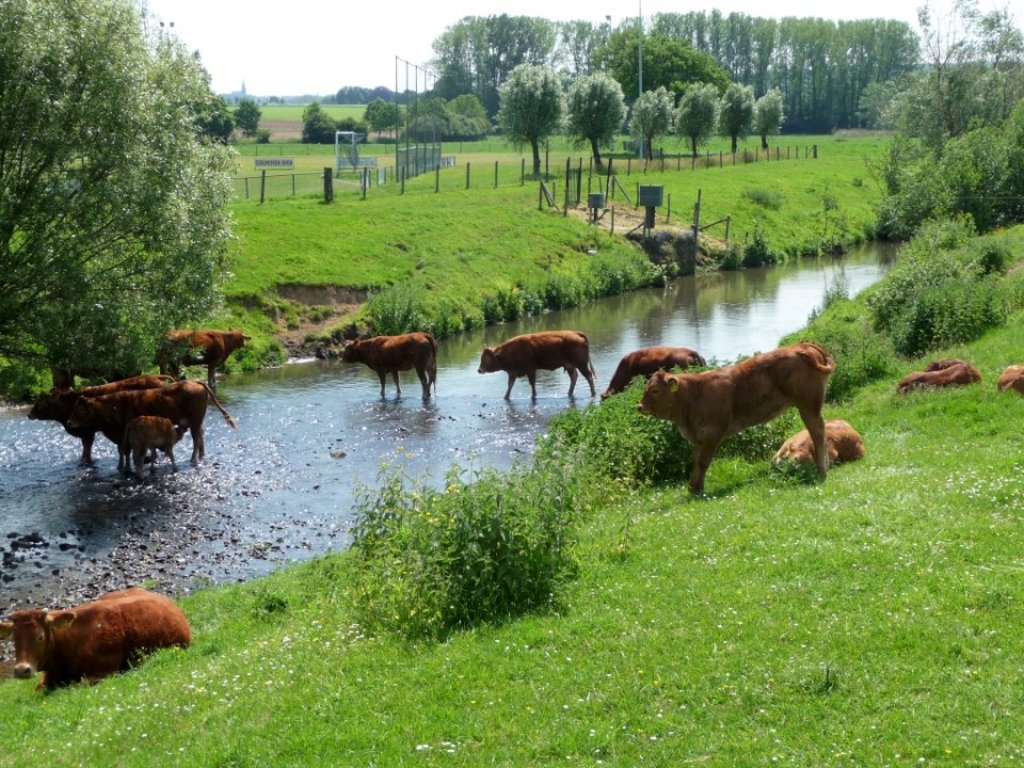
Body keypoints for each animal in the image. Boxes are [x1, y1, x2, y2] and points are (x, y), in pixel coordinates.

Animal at [634, 342, 835, 495]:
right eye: (646, 388)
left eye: (655, 390)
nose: (640, 406)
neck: (693, 396)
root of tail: (802, 346)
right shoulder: (698, 437)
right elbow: (696, 462)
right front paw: (693, 488)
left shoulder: (713, 433)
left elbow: (704, 462)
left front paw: (697, 490)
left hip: (808, 404)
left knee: (817, 431)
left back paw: (822, 471)